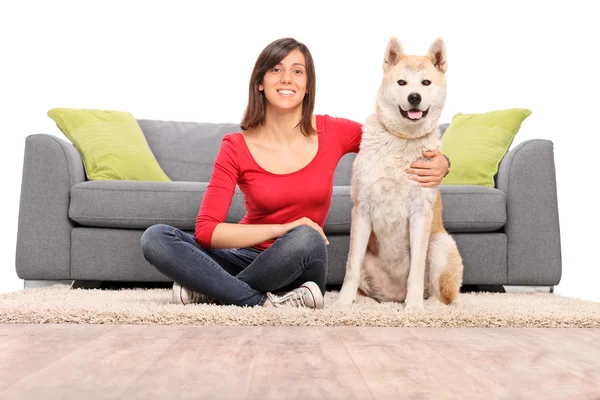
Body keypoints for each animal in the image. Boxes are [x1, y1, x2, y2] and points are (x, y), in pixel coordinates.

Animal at [338, 36, 464, 312]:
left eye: (426, 82)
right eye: (402, 83)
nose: (414, 97)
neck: (402, 139)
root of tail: (393, 297)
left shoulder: (420, 213)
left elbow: (416, 268)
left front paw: (414, 307)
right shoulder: (362, 210)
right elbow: (351, 266)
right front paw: (342, 302)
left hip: (440, 245)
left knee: (443, 297)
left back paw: (426, 305)